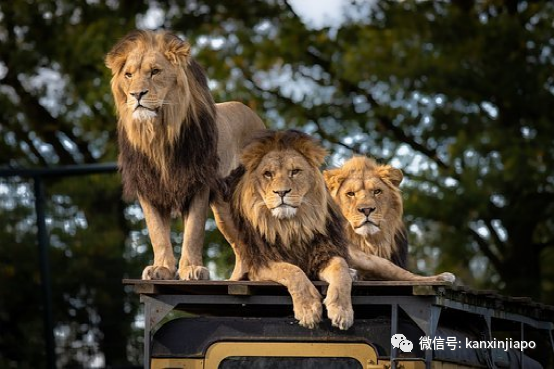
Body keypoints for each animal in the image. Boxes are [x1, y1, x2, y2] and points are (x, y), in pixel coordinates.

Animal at [106, 30, 266, 280]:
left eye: (155, 71)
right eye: (128, 75)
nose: (136, 94)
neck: (159, 135)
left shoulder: (198, 183)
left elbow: (193, 231)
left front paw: (191, 268)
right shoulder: (148, 186)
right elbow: (157, 233)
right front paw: (161, 268)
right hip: (224, 210)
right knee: (242, 248)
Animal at [221, 129, 354, 328]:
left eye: (295, 172)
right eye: (268, 174)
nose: (281, 192)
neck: (290, 227)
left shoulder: (323, 254)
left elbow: (341, 269)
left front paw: (341, 310)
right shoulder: (260, 262)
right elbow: (292, 271)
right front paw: (308, 309)